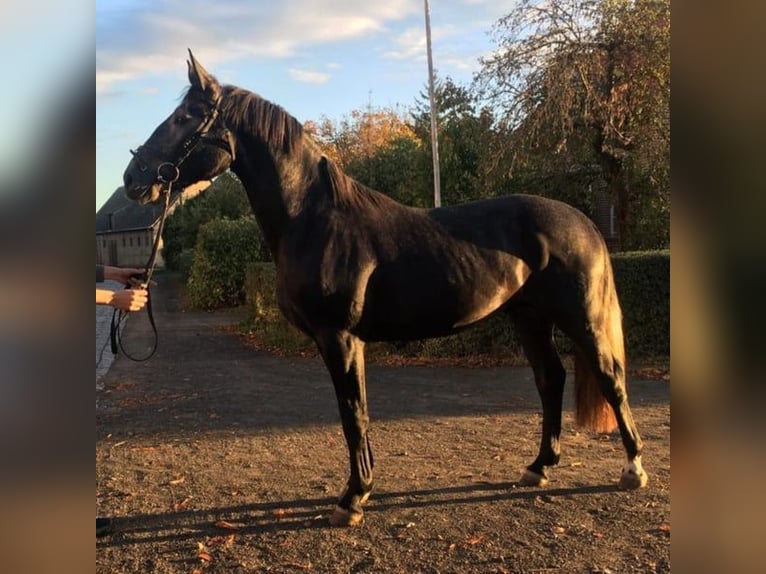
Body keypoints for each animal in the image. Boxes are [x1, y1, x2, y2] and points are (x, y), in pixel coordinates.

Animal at [124, 51, 648, 528]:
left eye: (185, 117)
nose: (134, 179)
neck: (314, 220)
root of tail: (582, 221)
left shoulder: (339, 337)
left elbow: (352, 415)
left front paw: (353, 499)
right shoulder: (344, 341)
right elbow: (357, 414)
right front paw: (362, 489)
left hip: (581, 319)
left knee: (611, 380)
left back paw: (633, 469)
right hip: (530, 317)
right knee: (550, 379)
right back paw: (538, 467)